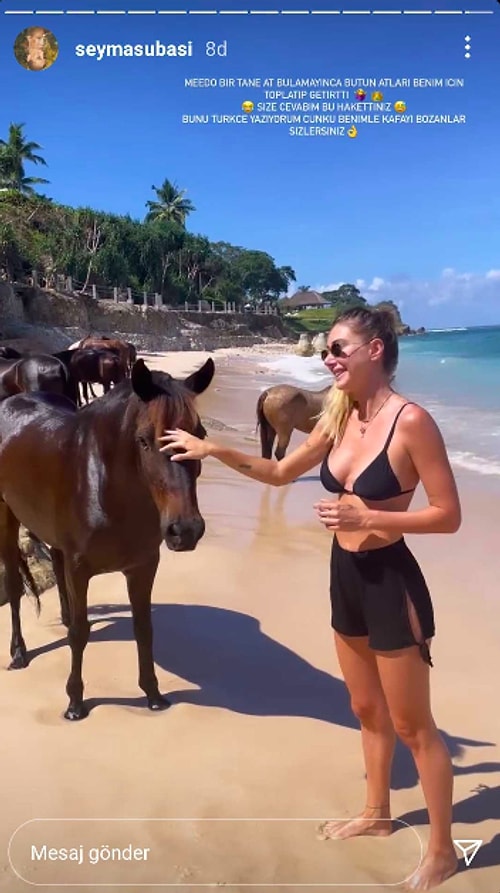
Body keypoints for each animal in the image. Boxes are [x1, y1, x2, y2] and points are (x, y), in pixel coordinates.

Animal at [0, 356, 213, 716]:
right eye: (143, 440)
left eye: (200, 435)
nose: (185, 530)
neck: (104, 484)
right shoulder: (80, 569)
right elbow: (80, 634)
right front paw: (75, 702)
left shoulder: (143, 566)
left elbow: (143, 628)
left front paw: (153, 693)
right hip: (7, 518)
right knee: (15, 587)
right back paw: (18, 652)